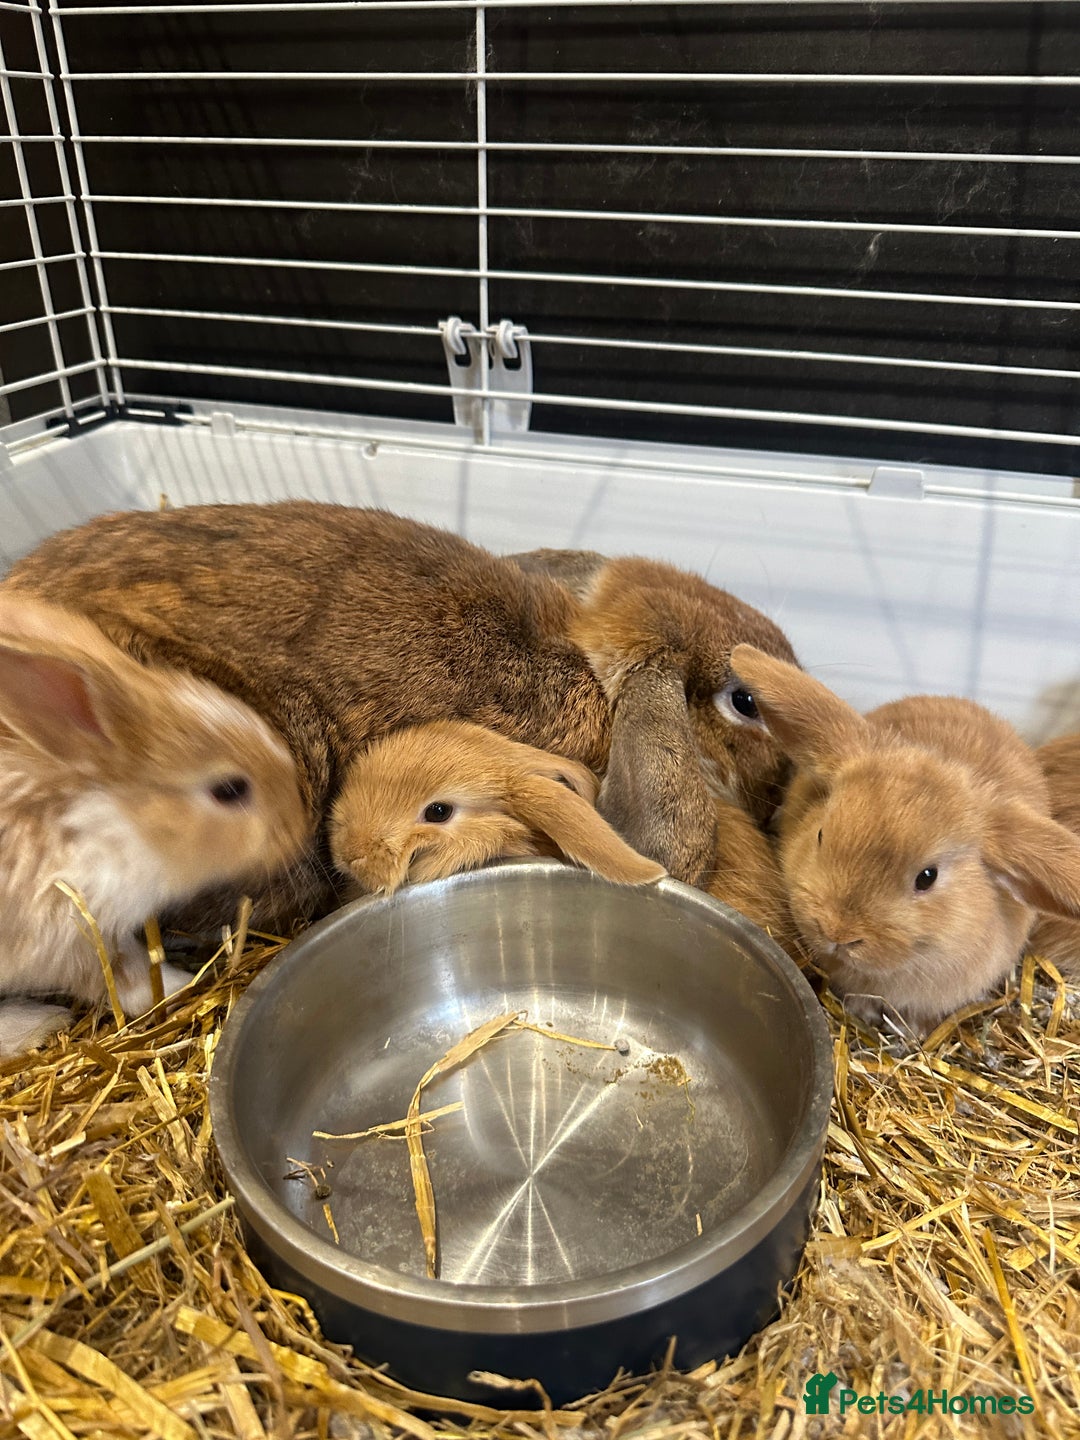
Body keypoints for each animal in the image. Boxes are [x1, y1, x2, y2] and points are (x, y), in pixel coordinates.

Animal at [0, 593, 308, 1057]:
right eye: (229, 790)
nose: (301, 829)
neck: (114, 815)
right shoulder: (71, 934)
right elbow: (126, 979)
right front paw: (183, 983)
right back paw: (38, 1023)